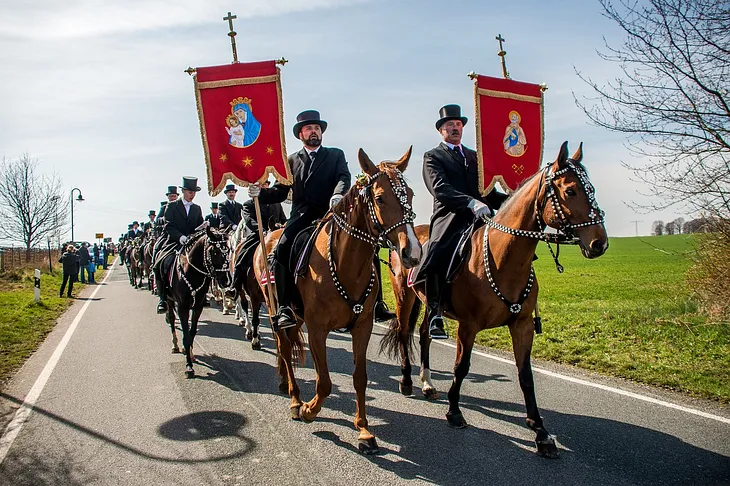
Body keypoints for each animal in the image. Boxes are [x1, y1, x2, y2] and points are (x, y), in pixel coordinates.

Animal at [252, 146, 418, 454]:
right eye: (379, 197)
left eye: (410, 194)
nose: (412, 252)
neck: (343, 264)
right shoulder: (318, 330)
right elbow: (325, 383)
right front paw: (308, 410)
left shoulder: (362, 327)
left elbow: (360, 378)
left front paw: (364, 430)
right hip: (274, 309)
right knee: (284, 349)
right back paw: (295, 400)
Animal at [382, 142, 608, 458]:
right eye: (571, 191)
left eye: (592, 189)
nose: (600, 243)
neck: (504, 258)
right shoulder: (468, 326)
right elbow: (461, 367)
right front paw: (454, 412)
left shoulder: (522, 325)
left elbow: (526, 376)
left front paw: (540, 431)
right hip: (405, 297)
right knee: (405, 334)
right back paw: (406, 383)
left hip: (429, 304)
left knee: (426, 333)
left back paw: (427, 384)